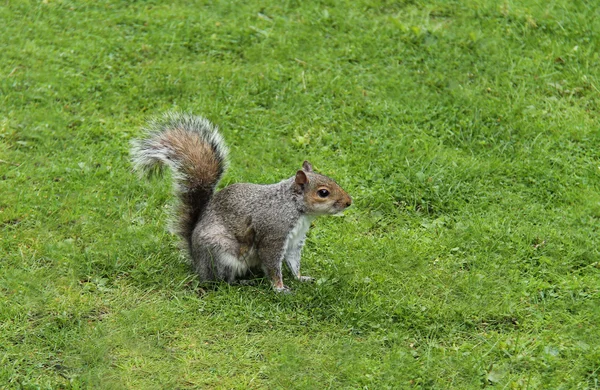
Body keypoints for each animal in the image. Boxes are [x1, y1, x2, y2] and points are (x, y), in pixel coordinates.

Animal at [127, 111, 352, 290]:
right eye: (323, 192)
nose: (349, 202)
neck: (294, 208)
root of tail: (197, 260)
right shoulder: (273, 235)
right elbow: (272, 264)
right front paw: (280, 288)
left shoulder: (294, 241)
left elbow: (293, 261)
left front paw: (301, 277)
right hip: (221, 254)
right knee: (221, 281)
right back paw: (242, 282)